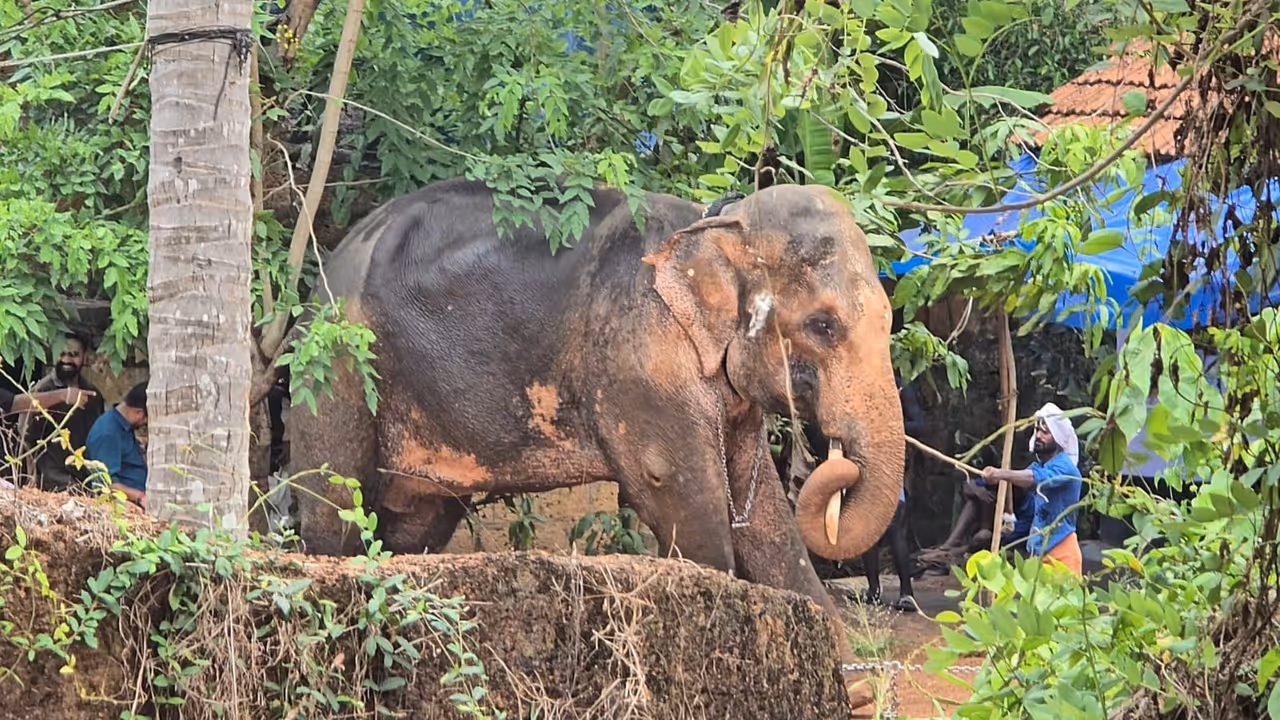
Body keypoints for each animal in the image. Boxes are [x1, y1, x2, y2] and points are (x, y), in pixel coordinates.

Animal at [283, 177, 906, 679]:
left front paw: (848, 683)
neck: (715, 224)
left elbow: (766, 517)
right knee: (335, 510)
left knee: (414, 526)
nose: (833, 459)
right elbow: (673, 488)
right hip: (334, 366)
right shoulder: (639, 355)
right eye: (822, 325)